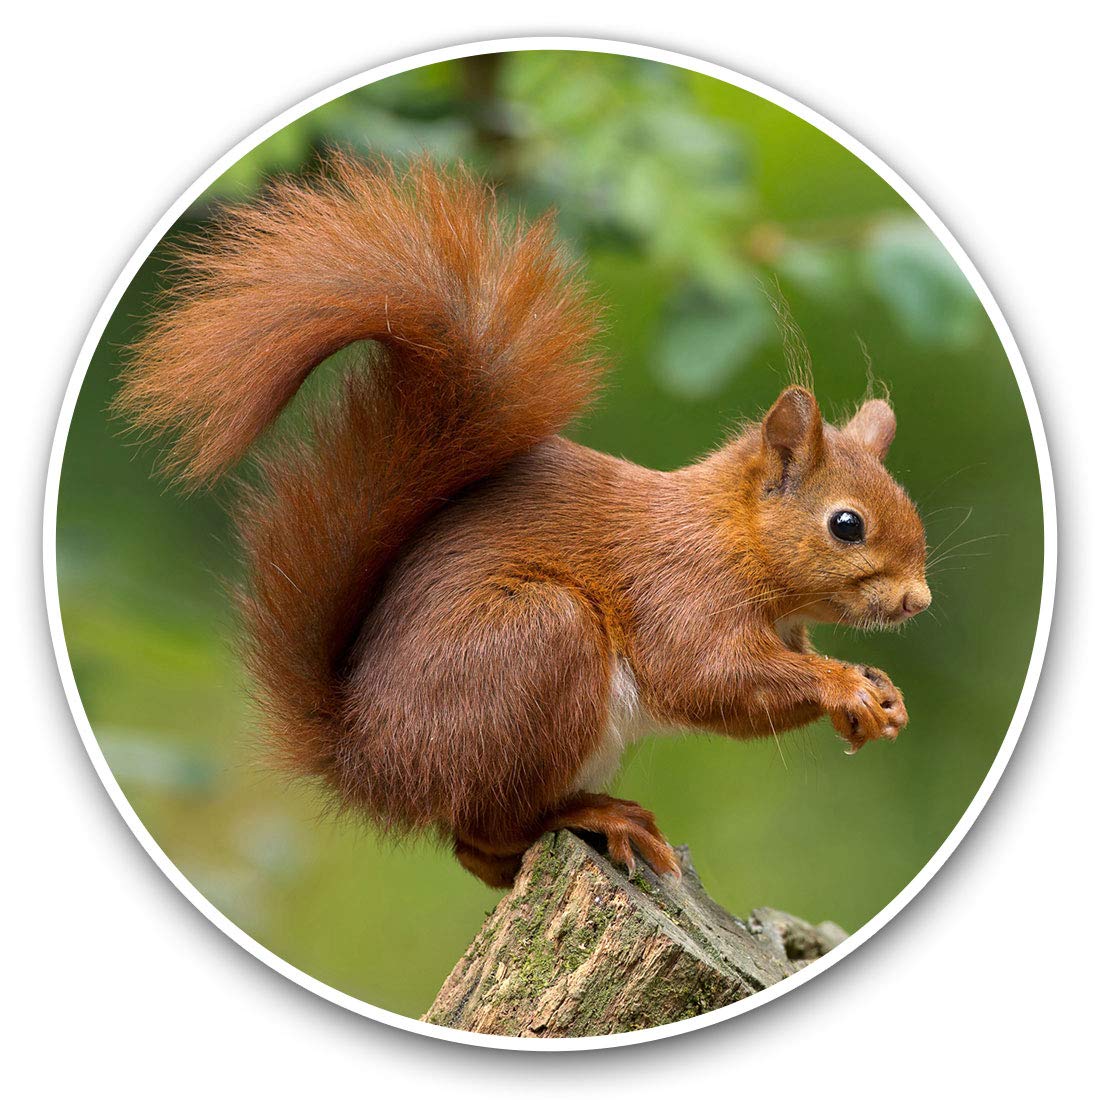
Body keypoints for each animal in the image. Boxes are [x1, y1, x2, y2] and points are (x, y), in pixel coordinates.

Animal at [117, 154, 931, 888]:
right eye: (847, 524)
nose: (918, 600)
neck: (733, 536)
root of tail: (368, 762)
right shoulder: (681, 589)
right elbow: (707, 676)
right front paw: (844, 686)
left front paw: (879, 694)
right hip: (537, 643)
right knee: (486, 828)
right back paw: (595, 815)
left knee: (477, 854)